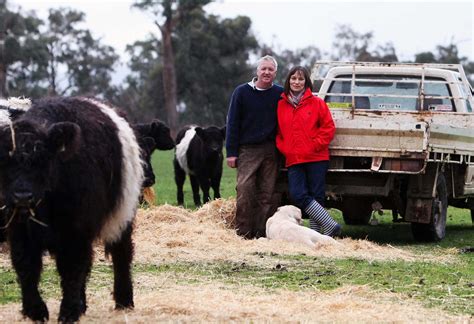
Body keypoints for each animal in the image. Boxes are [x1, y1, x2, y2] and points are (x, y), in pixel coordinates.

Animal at [0, 96, 144, 322]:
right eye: (5, 161)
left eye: (43, 159)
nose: (22, 196)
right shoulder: (19, 231)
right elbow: (27, 267)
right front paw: (35, 310)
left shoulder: (75, 232)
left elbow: (72, 269)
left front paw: (68, 311)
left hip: (122, 215)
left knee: (122, 254)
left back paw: (124, 300)